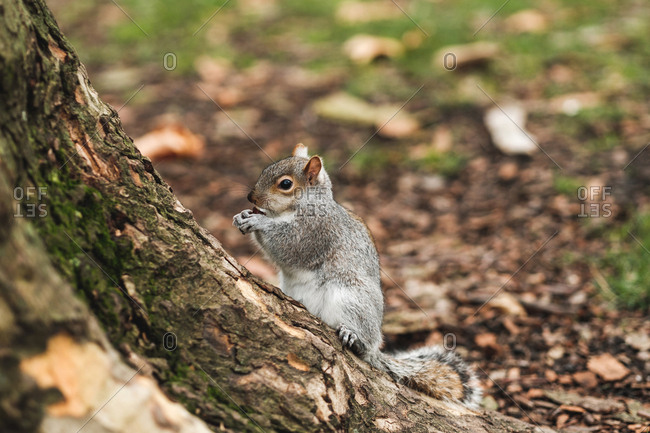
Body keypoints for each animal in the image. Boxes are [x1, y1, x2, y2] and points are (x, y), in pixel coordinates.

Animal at [233, 144, 482, 409]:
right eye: (264, 170)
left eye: (286, 184)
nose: (251, 198)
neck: (298, 208)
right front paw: (242, 215)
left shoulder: (316, 231)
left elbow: (289, 247)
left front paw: (258, 221)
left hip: (351, 298)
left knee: (365, 341)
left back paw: (355, 337)